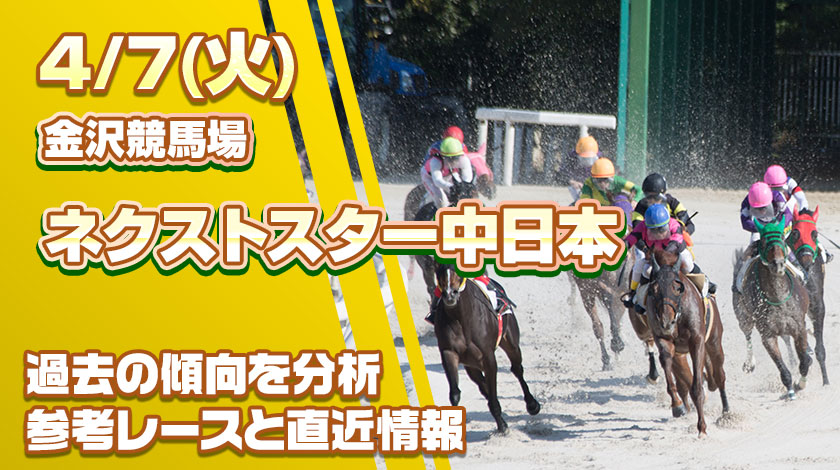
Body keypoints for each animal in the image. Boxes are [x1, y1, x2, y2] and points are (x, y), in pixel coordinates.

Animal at [434, 261, 540, 433]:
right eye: (439, 271)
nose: (450, 295)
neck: (460, 318)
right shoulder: (449, 352)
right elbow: (455, 393)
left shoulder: (487, 356)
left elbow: (493, 392)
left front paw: (502, 427)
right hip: (470, 364)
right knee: (482, 383)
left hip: (511, 342)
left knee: (517, 369)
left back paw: (532, 405)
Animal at [647, 249, 728, 436]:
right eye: (654, 289)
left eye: (677, 288)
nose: (666, 321)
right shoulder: (664, 339)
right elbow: (667, 363)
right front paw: (677, 406)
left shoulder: (697, 341)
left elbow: (697, 387)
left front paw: (702, 427)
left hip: (714, 341)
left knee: (719, 375)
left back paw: (727, 412)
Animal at [732, 216, 811, 399]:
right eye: (765, 240)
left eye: (781, 237)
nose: (779, 264)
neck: (778, 296)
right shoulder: (767, 335)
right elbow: (781, 367)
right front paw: (790, 389)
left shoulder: (799, 327)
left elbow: (804, 361)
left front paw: (801, 383)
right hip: (743, 318)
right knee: (747, 334)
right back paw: (749, 364)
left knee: (788, 341)